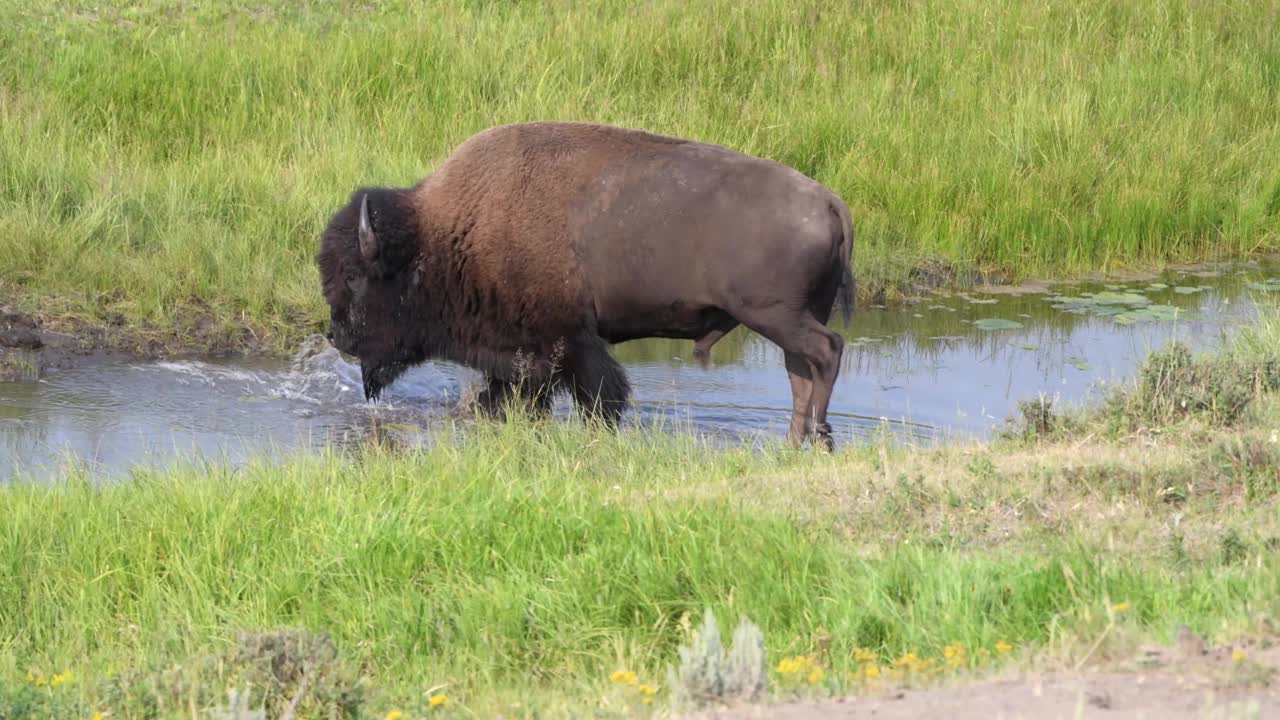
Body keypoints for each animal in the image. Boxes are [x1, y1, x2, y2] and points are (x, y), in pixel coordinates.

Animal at [318, 122, 855, 448]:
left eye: (354, 276)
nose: (338, 336)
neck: (444, 234)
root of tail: (830, 201)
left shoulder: (570, 343)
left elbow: (601, 398)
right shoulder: (523, 359)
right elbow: (505, 397)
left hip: (776, 314)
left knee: (826, 352)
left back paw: (821, 436)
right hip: (790, 319)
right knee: (800, 372)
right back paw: (794, 442)